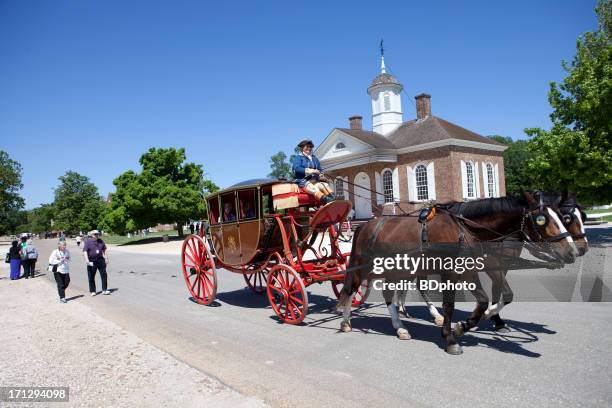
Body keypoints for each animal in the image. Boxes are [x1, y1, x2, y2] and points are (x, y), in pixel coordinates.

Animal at [338, 191, 576, 354]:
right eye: (542, 219)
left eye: (562, 217)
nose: (572, 251)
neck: (464, 228)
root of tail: (367, 225)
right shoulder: (450, 273)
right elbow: (449, 305)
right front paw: (451, 338)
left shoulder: (469, 270)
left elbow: (483, 301)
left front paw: (463, 327)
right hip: (365, 265)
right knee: (351, 289)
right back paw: (346, 322)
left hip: (396, 268)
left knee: (388, 295)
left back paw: (399, 327)